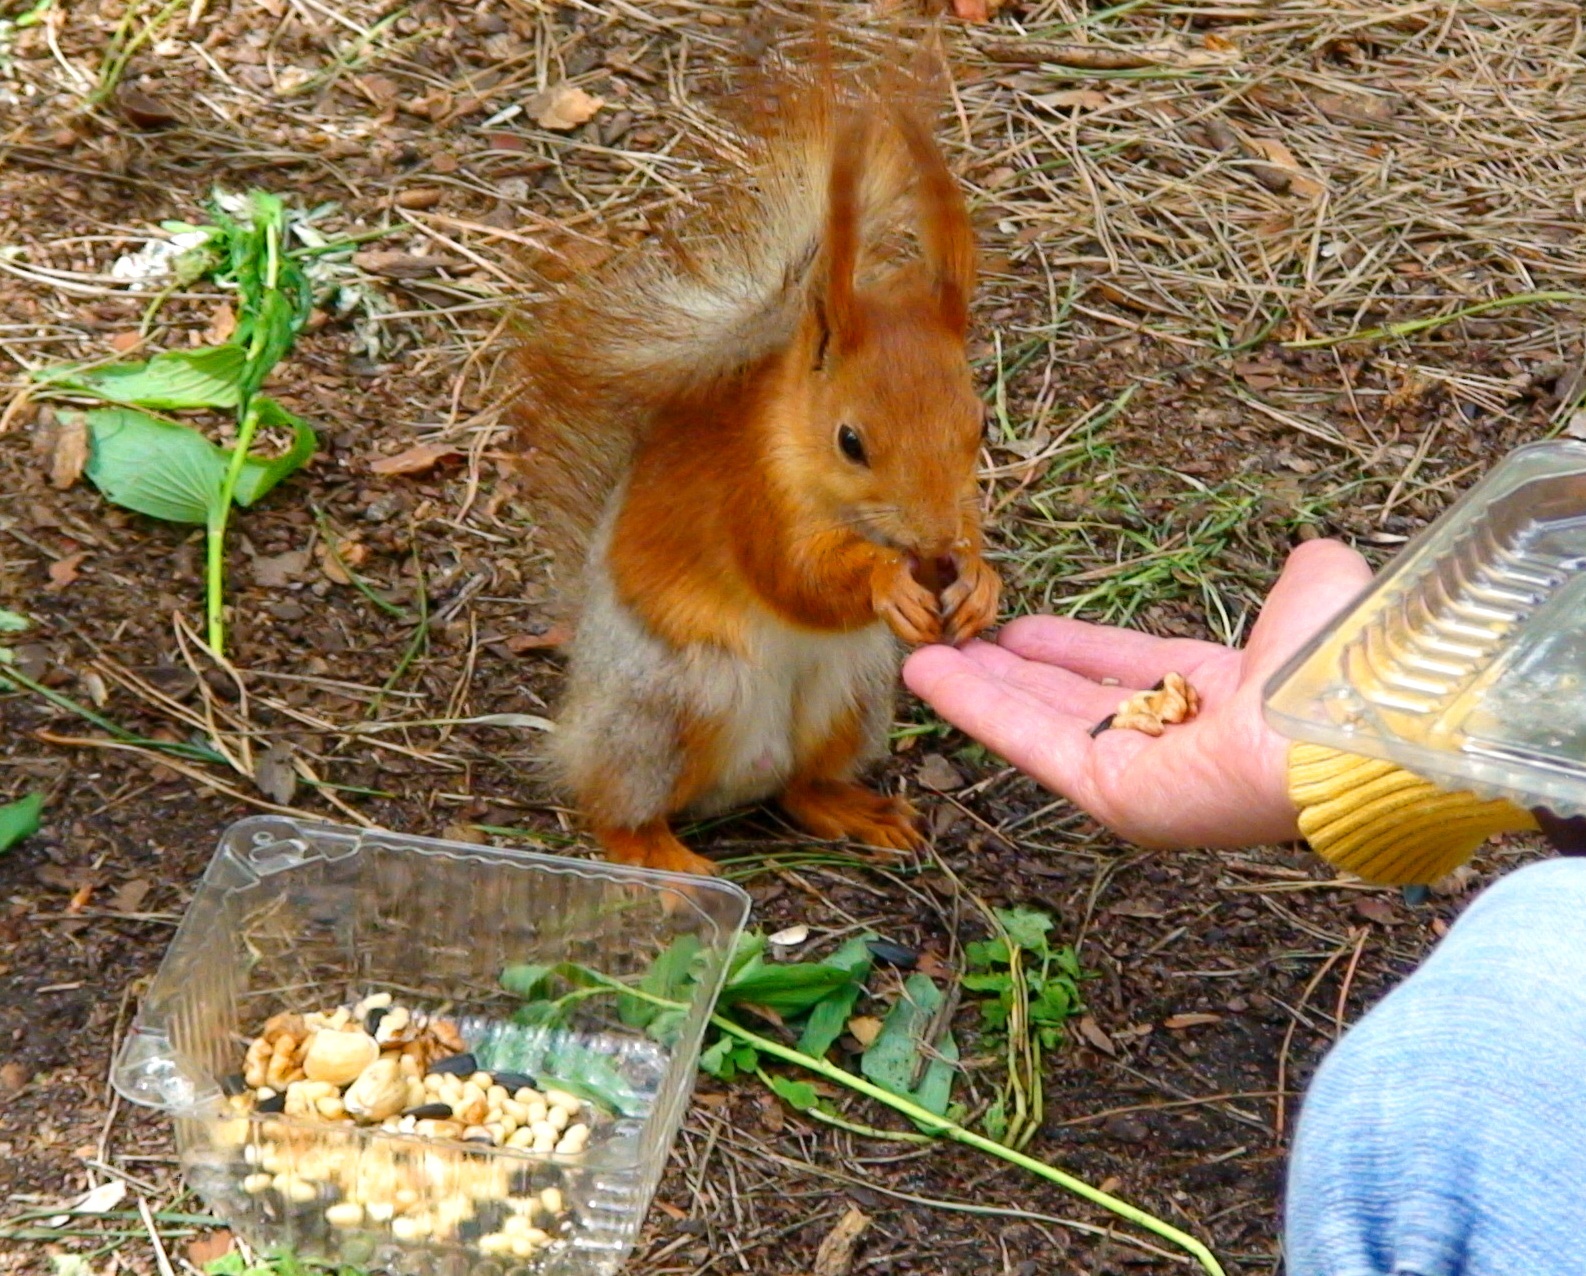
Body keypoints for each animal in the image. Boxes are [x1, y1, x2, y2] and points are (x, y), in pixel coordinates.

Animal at [513, 59, 996, 874]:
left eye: (980, 424)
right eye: (850, 441)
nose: (932, 545)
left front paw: (980, 579)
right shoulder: (748, 496)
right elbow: (793, 577)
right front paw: (885, 578)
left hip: (853, 692)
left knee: (801, 787)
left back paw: (853, 809)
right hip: (674, 701)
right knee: (612, 805)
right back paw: (661, 860)